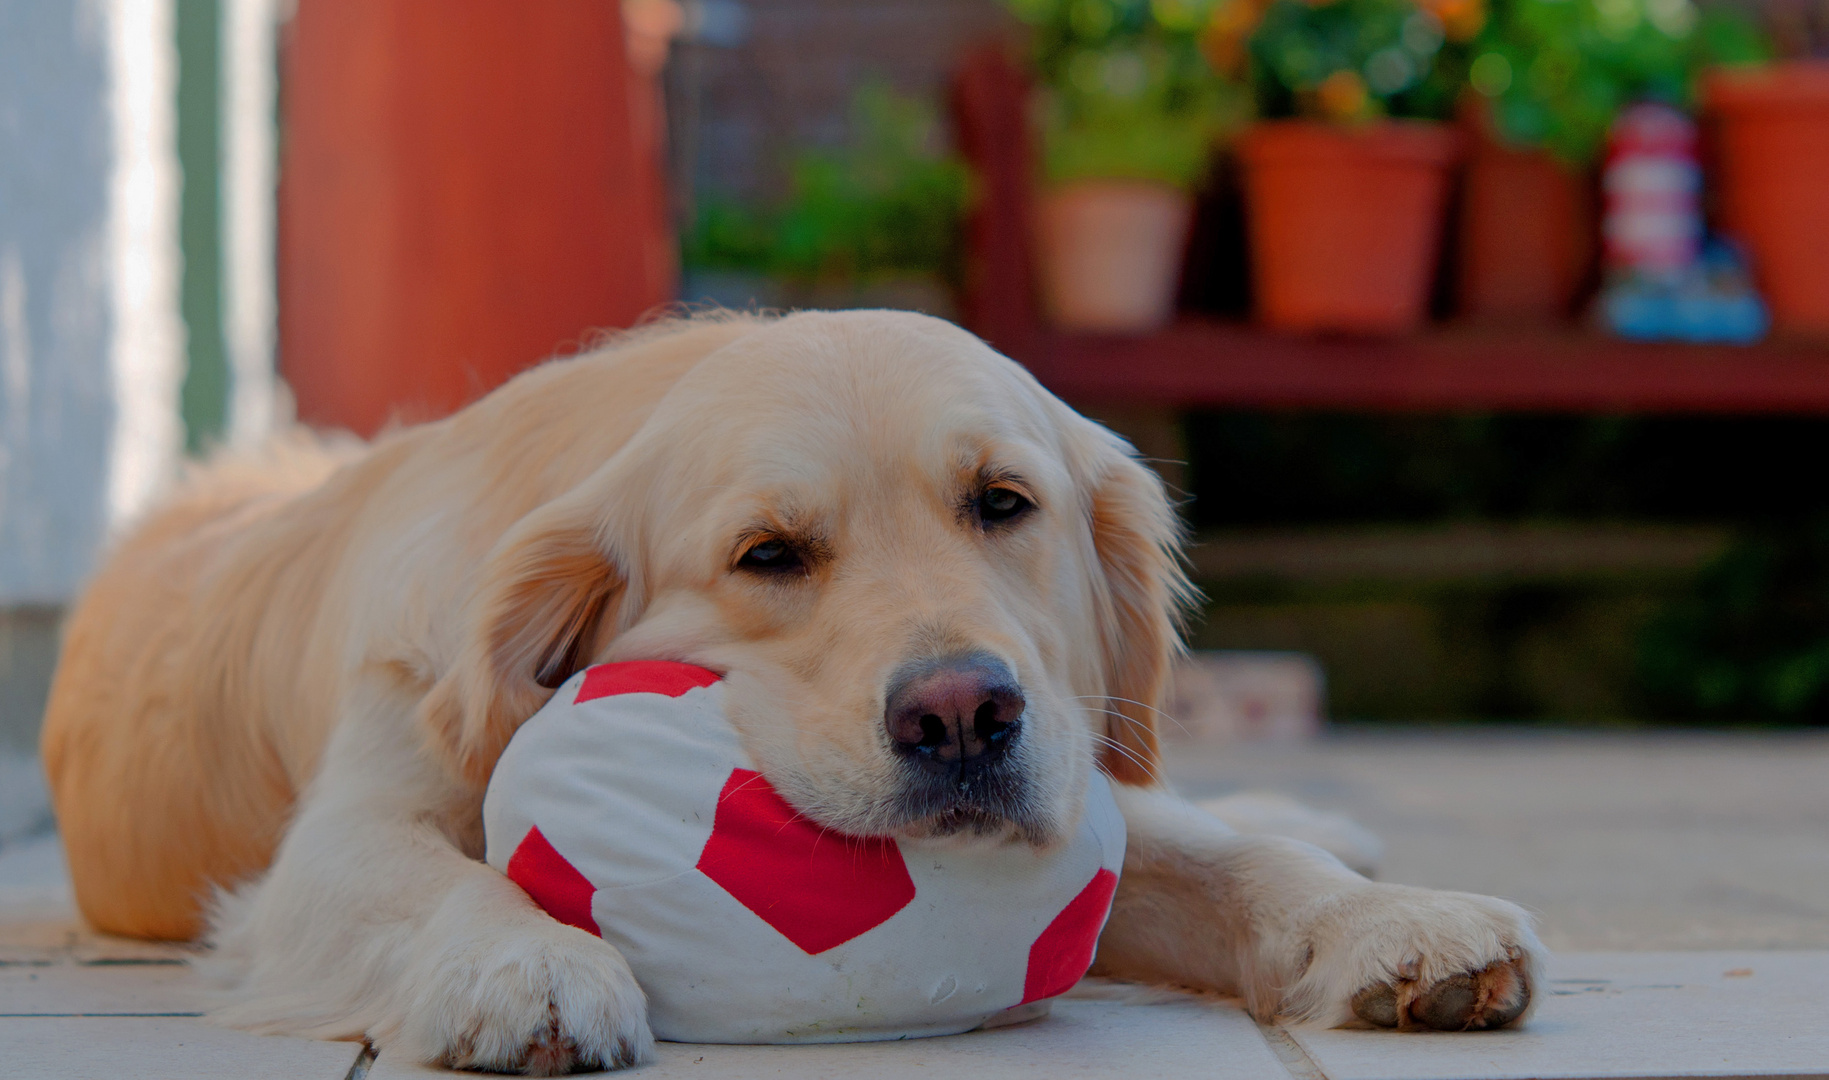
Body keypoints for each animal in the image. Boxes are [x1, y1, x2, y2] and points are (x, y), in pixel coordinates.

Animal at [35, 311, 1536, 1076]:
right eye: (769, 555)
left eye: (1002, 502)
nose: (962, 716)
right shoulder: (333, 843)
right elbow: (429, 877)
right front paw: (524, 963)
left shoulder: (1071, 786)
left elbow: (1227, 862)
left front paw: (1392, 925)